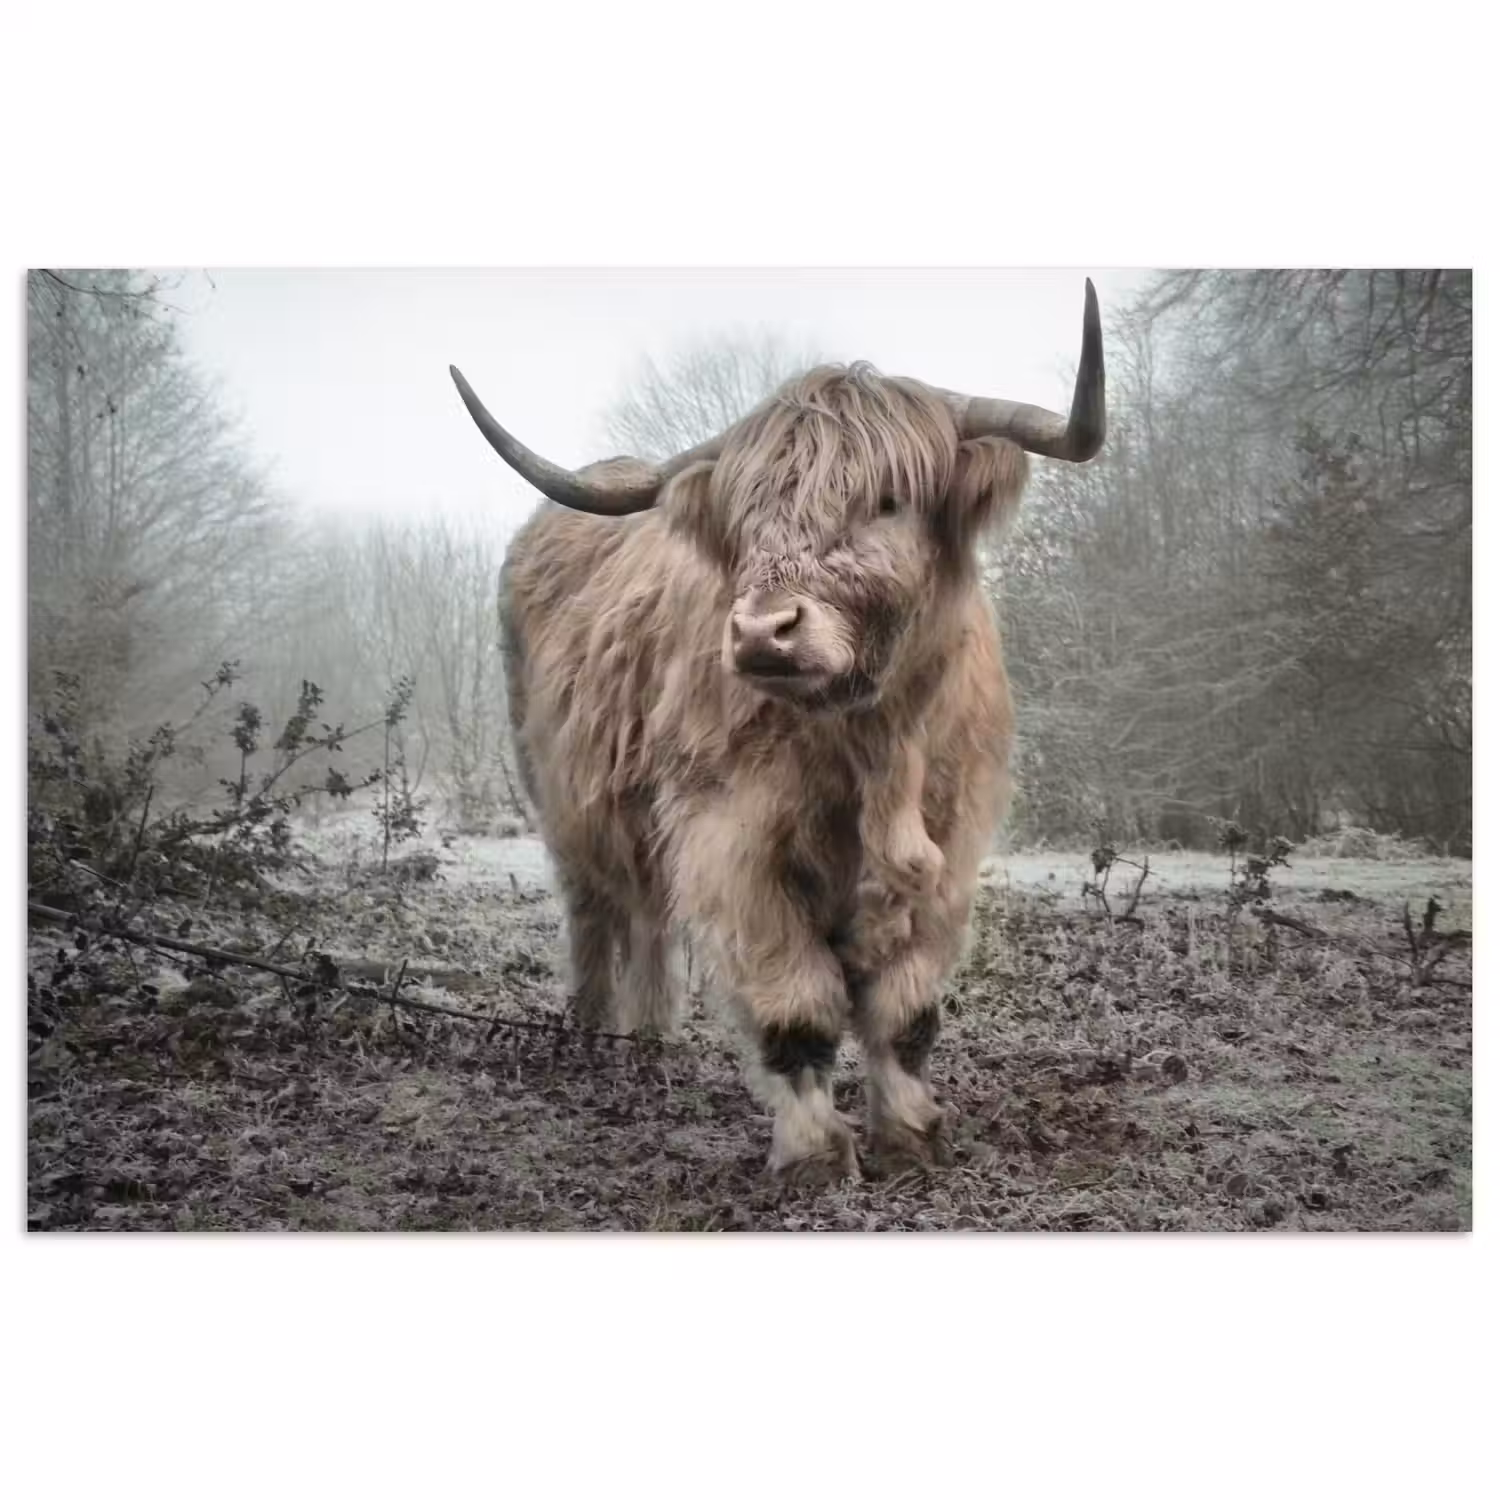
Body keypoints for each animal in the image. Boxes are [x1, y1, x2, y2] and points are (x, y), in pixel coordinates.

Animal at [450, 281, 1105, 1184]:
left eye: (887, 501)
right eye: (747, 517)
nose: (763, 631)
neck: (872, 745)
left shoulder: (951, 845)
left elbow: (905, 1012)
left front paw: (910, 1137)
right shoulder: (732, 841)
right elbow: (797, 1007)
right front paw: (815, 1155)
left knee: (648, 915)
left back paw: (650, 1036)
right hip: (560, 796)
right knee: (594, 911)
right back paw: (592, 1032)